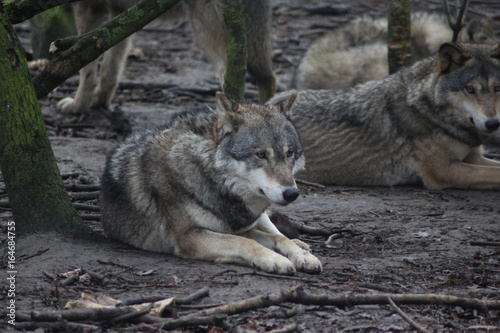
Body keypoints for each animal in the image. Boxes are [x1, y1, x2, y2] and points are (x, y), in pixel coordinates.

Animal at [59, 0, 278, 114]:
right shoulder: (120, 18)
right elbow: (110, 68)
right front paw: (99, 102)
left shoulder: (87, 9)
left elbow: (86, 70)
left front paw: (77, 106)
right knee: (268, 78)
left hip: (206, 30)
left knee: (229, 77)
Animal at [272, 42, 500, 189]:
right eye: (470, 89)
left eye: (497, 88)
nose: (493, 123)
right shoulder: (444, 172)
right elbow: (494, 175)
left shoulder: (473, 157)